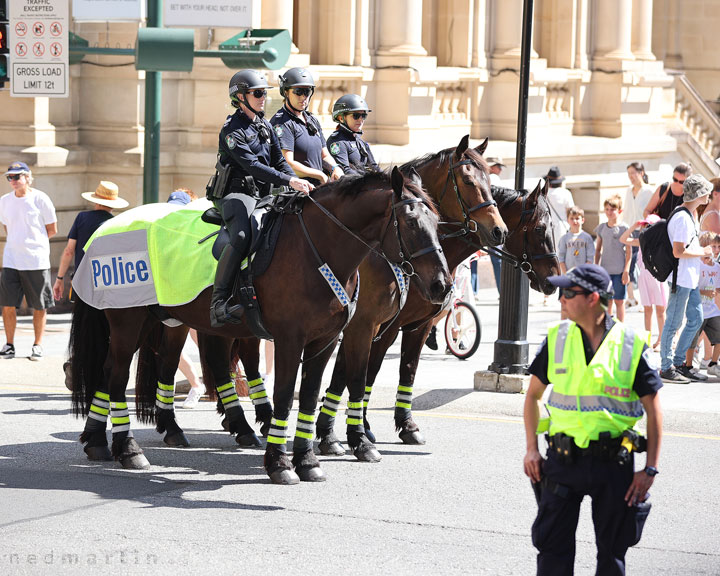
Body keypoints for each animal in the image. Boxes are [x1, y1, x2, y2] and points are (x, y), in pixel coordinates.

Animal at [69, 166, 450, 482]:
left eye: (437, 222)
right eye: (412, 223)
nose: (442, 285)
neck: (317, 249)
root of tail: (106, 227)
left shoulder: (326, 341)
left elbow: (311, 396)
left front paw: (308, 459)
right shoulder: (295, 339)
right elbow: (285, 394)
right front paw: (281, 462)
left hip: (163, 319)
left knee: (114, 372)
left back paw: (101, 441)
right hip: (127, 321)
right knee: (118, 377)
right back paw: (128, 450)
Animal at [316, 172, 564, 454]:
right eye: (540, 229)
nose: (553, 280)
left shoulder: (413, 326)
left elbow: (404, 369)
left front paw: (403, 426)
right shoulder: (376, 326)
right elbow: (360, 372)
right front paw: (350, 430)